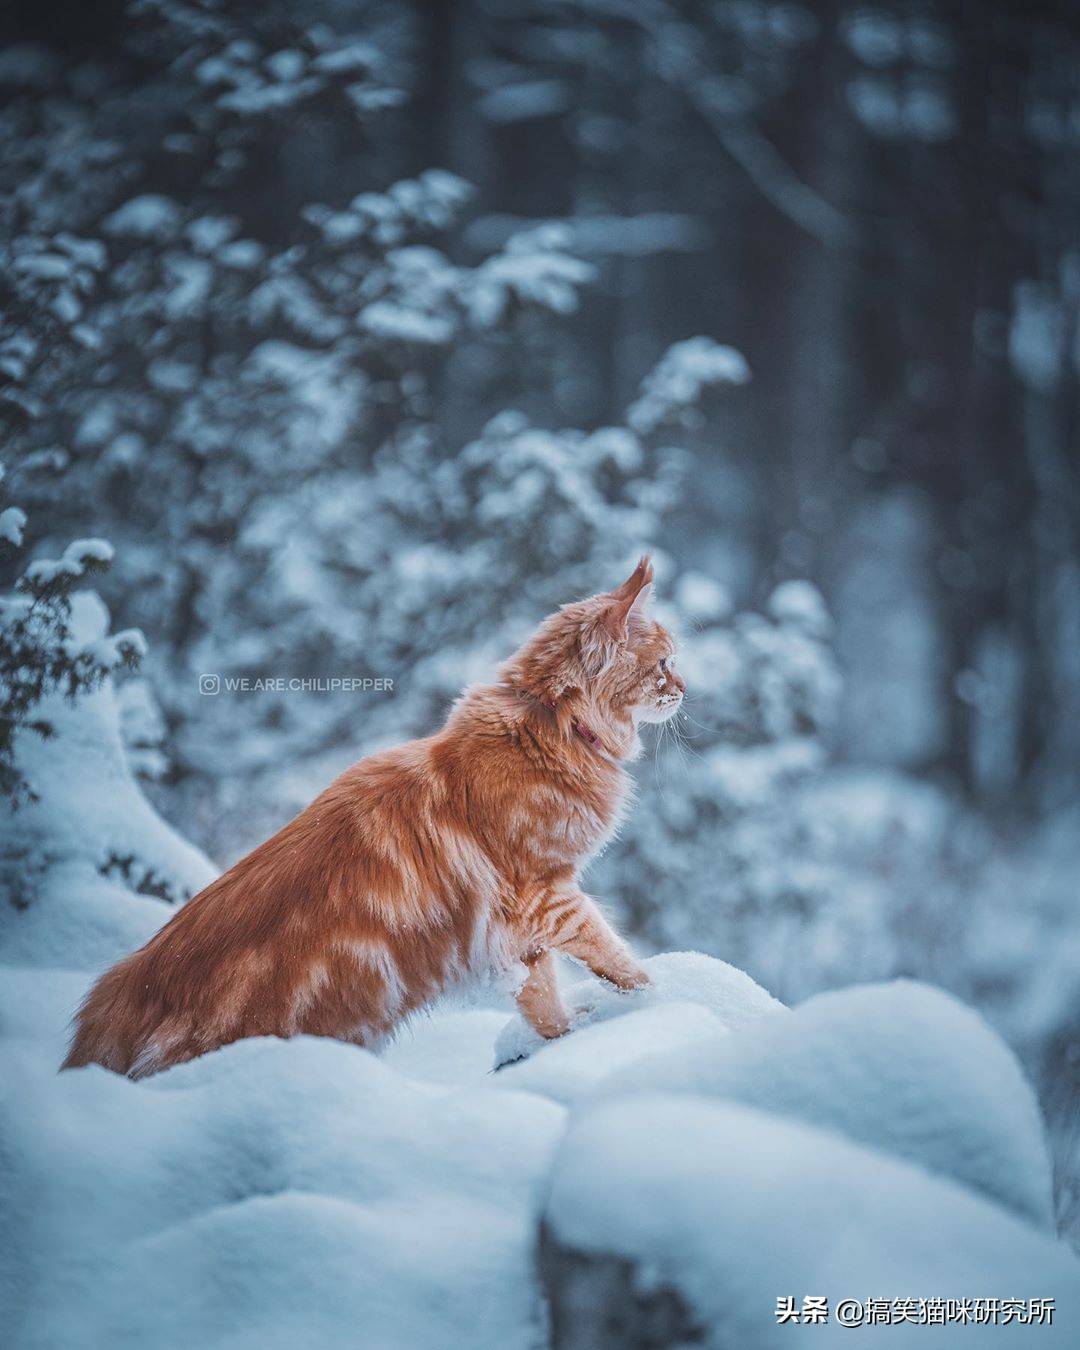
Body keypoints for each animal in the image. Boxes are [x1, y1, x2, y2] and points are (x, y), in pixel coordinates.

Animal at [65, 556, 683, 1074]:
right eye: (665, 663)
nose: (684, 687)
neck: (546, 728)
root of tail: (122, 995)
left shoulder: (518, 933)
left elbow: (541, 1000)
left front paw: (563, 1035)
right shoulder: (544, 893)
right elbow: (612, 954)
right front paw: (657, 996)